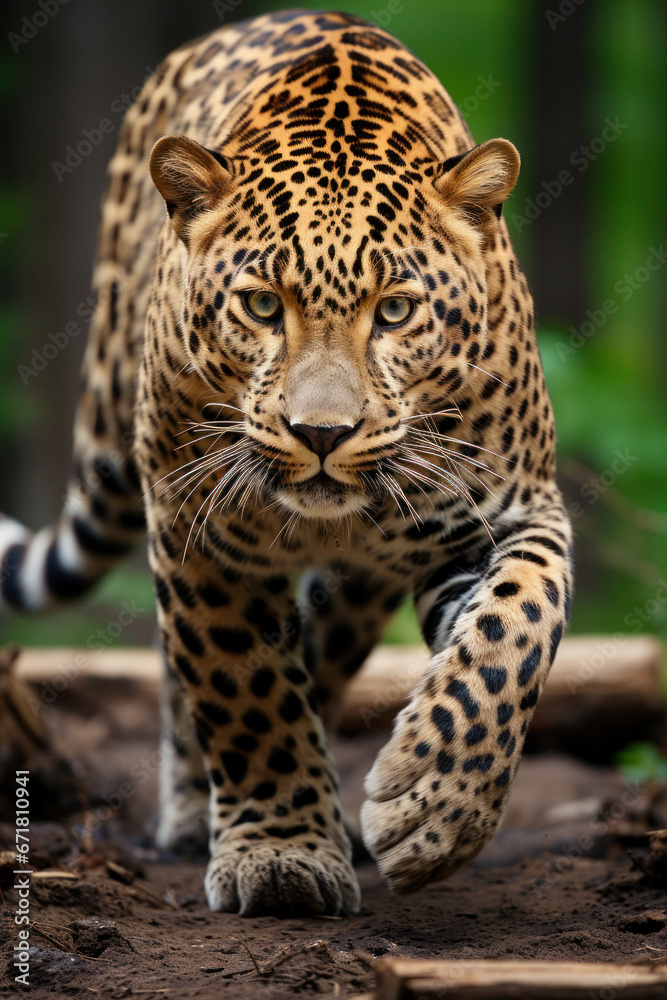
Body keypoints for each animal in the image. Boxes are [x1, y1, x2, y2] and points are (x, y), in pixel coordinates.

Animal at [1, 10, 573, 917]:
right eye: (263, 306)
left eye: (395, 311)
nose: (321, 433)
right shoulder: (200, 533)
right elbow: (244, 690)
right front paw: (281, 854)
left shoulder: (506, 513)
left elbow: (513, 629)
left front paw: (433, 809)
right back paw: (198, 812)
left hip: (362, 589)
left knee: (328, 657)